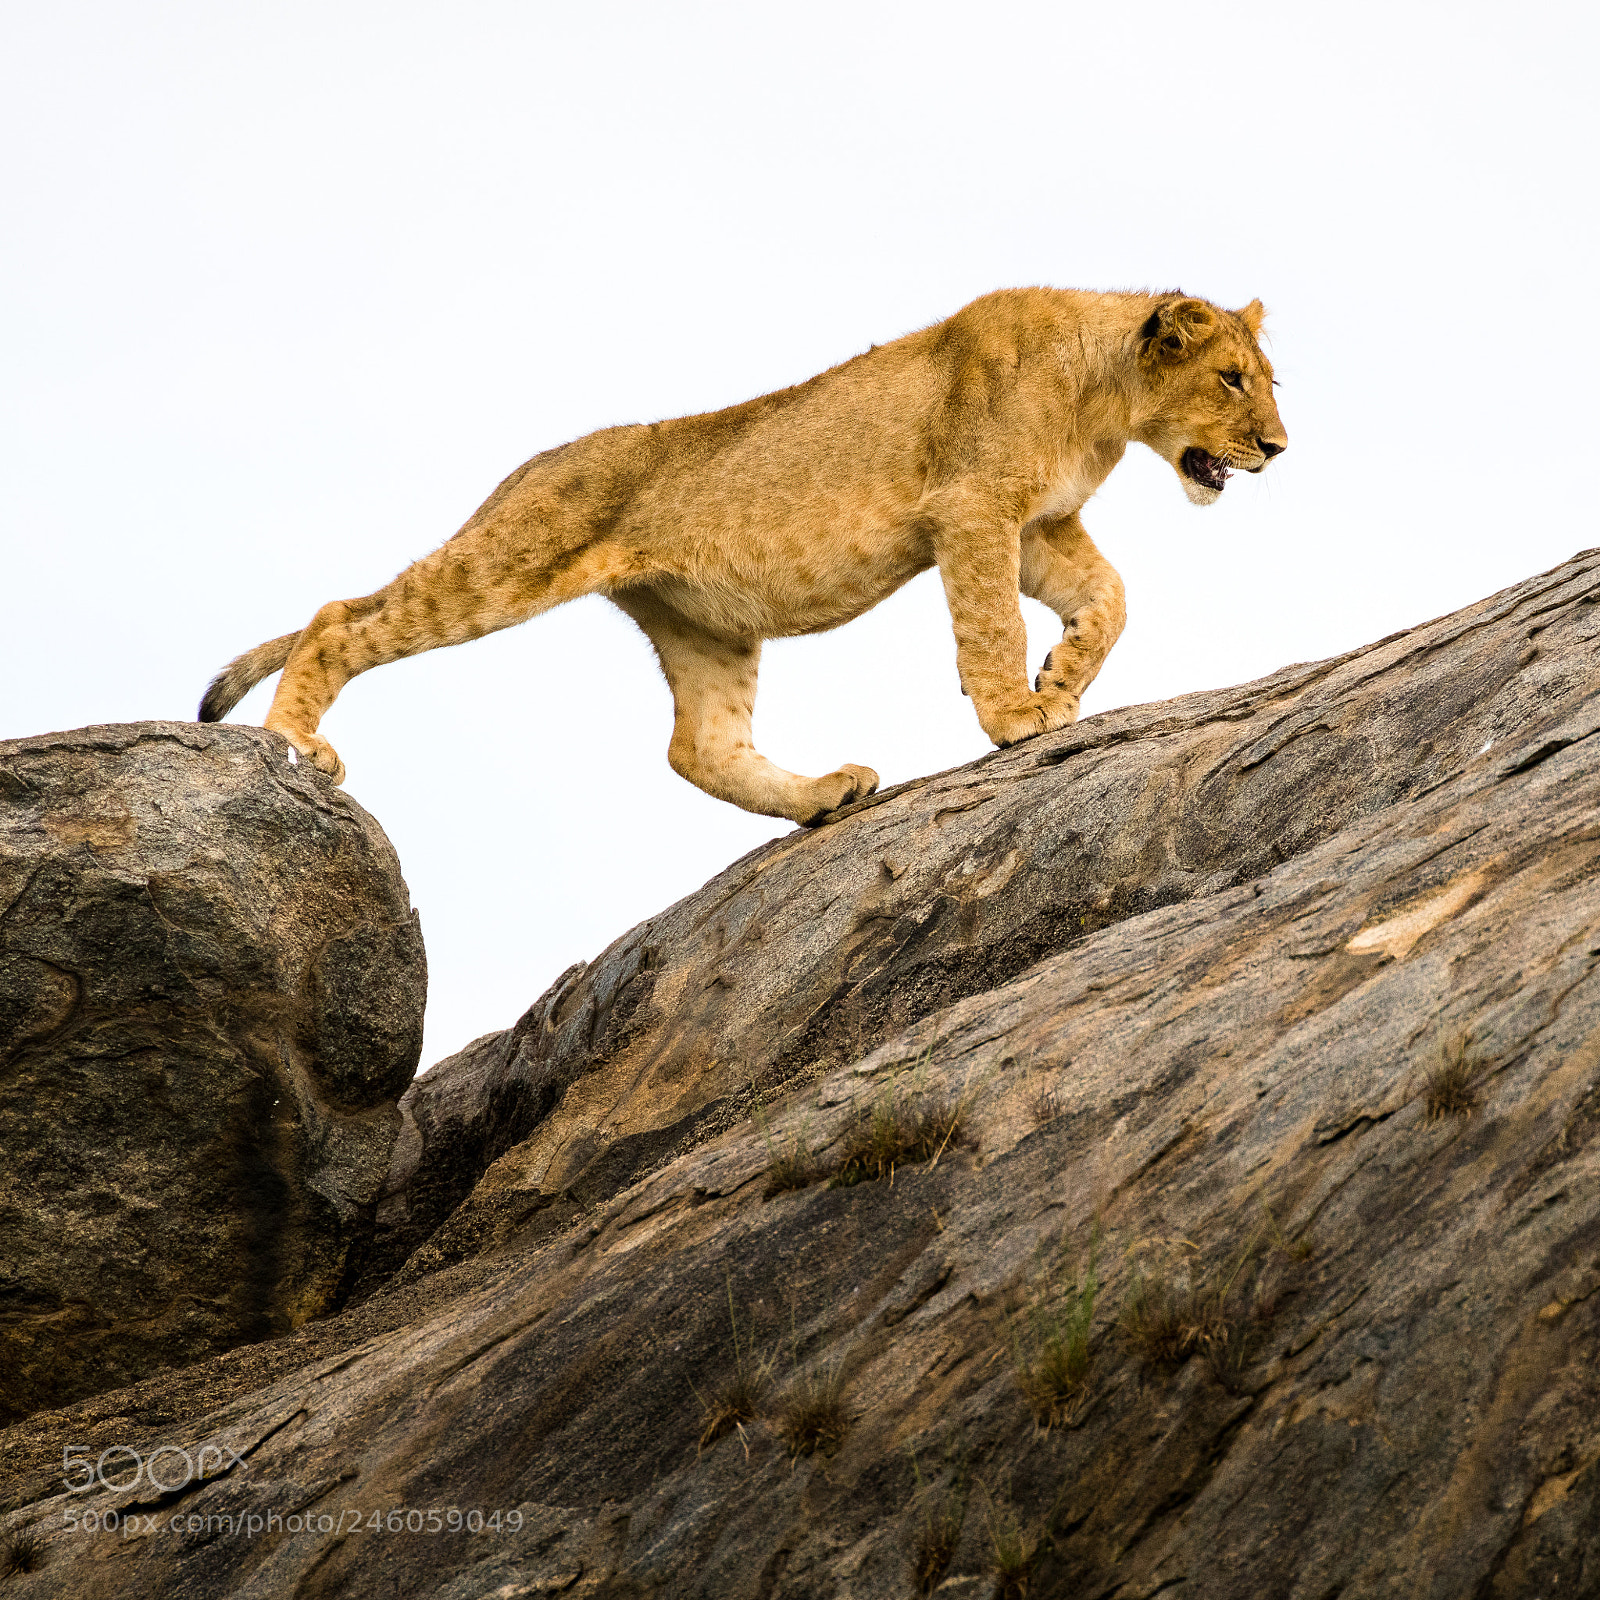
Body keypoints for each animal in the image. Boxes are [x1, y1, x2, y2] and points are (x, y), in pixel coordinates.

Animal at [199, 288, 1286, 823]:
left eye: (1263, 380)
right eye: (1233, 379)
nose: (1279, 448)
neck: (1104, 402)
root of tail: (526, 468)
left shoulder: (1036, 527)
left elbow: (1111, 597)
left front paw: (1061, 681)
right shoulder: (972, 511)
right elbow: (990, 625)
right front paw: (1018, 714)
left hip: (699, 623)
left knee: (699, 748)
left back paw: (821, 796)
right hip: (503, 563)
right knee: (338, 618)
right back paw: (297, 745)